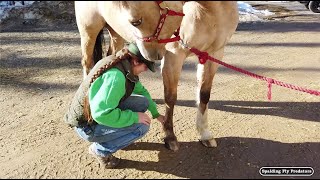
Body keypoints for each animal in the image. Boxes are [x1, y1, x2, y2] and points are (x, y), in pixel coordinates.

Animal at [75, 1, 239, 151]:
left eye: (136, 22)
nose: (151, 56)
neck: (208, 10)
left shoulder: (214, 54)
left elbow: (204, 95)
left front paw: (204, 134)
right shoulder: (174, 57)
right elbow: (170, 98)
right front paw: (170, 137)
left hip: (116, 32)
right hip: (89, 30)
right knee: (88, 63)